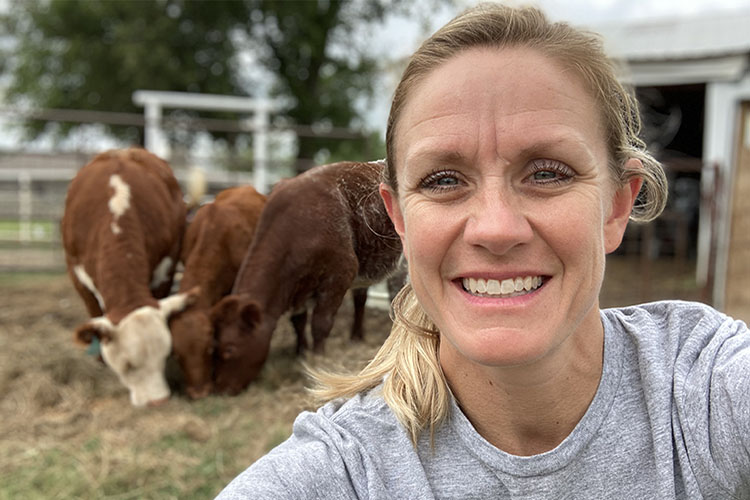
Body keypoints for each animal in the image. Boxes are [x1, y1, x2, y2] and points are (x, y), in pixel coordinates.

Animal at [61, 147, 197, 406]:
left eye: (165, 356)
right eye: (128, 365)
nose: (159, 401)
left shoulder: (166, 269)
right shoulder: (76, 273)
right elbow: (94, 313)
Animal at [210, 160, 406, 394]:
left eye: (230, 349)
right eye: (214, 346)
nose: (220, 389)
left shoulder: (340, 273)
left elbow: (321, 323)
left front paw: (318, 360)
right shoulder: (298, 288)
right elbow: (298, 321)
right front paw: (301, 352)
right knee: (361, 299)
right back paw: (356, 337)